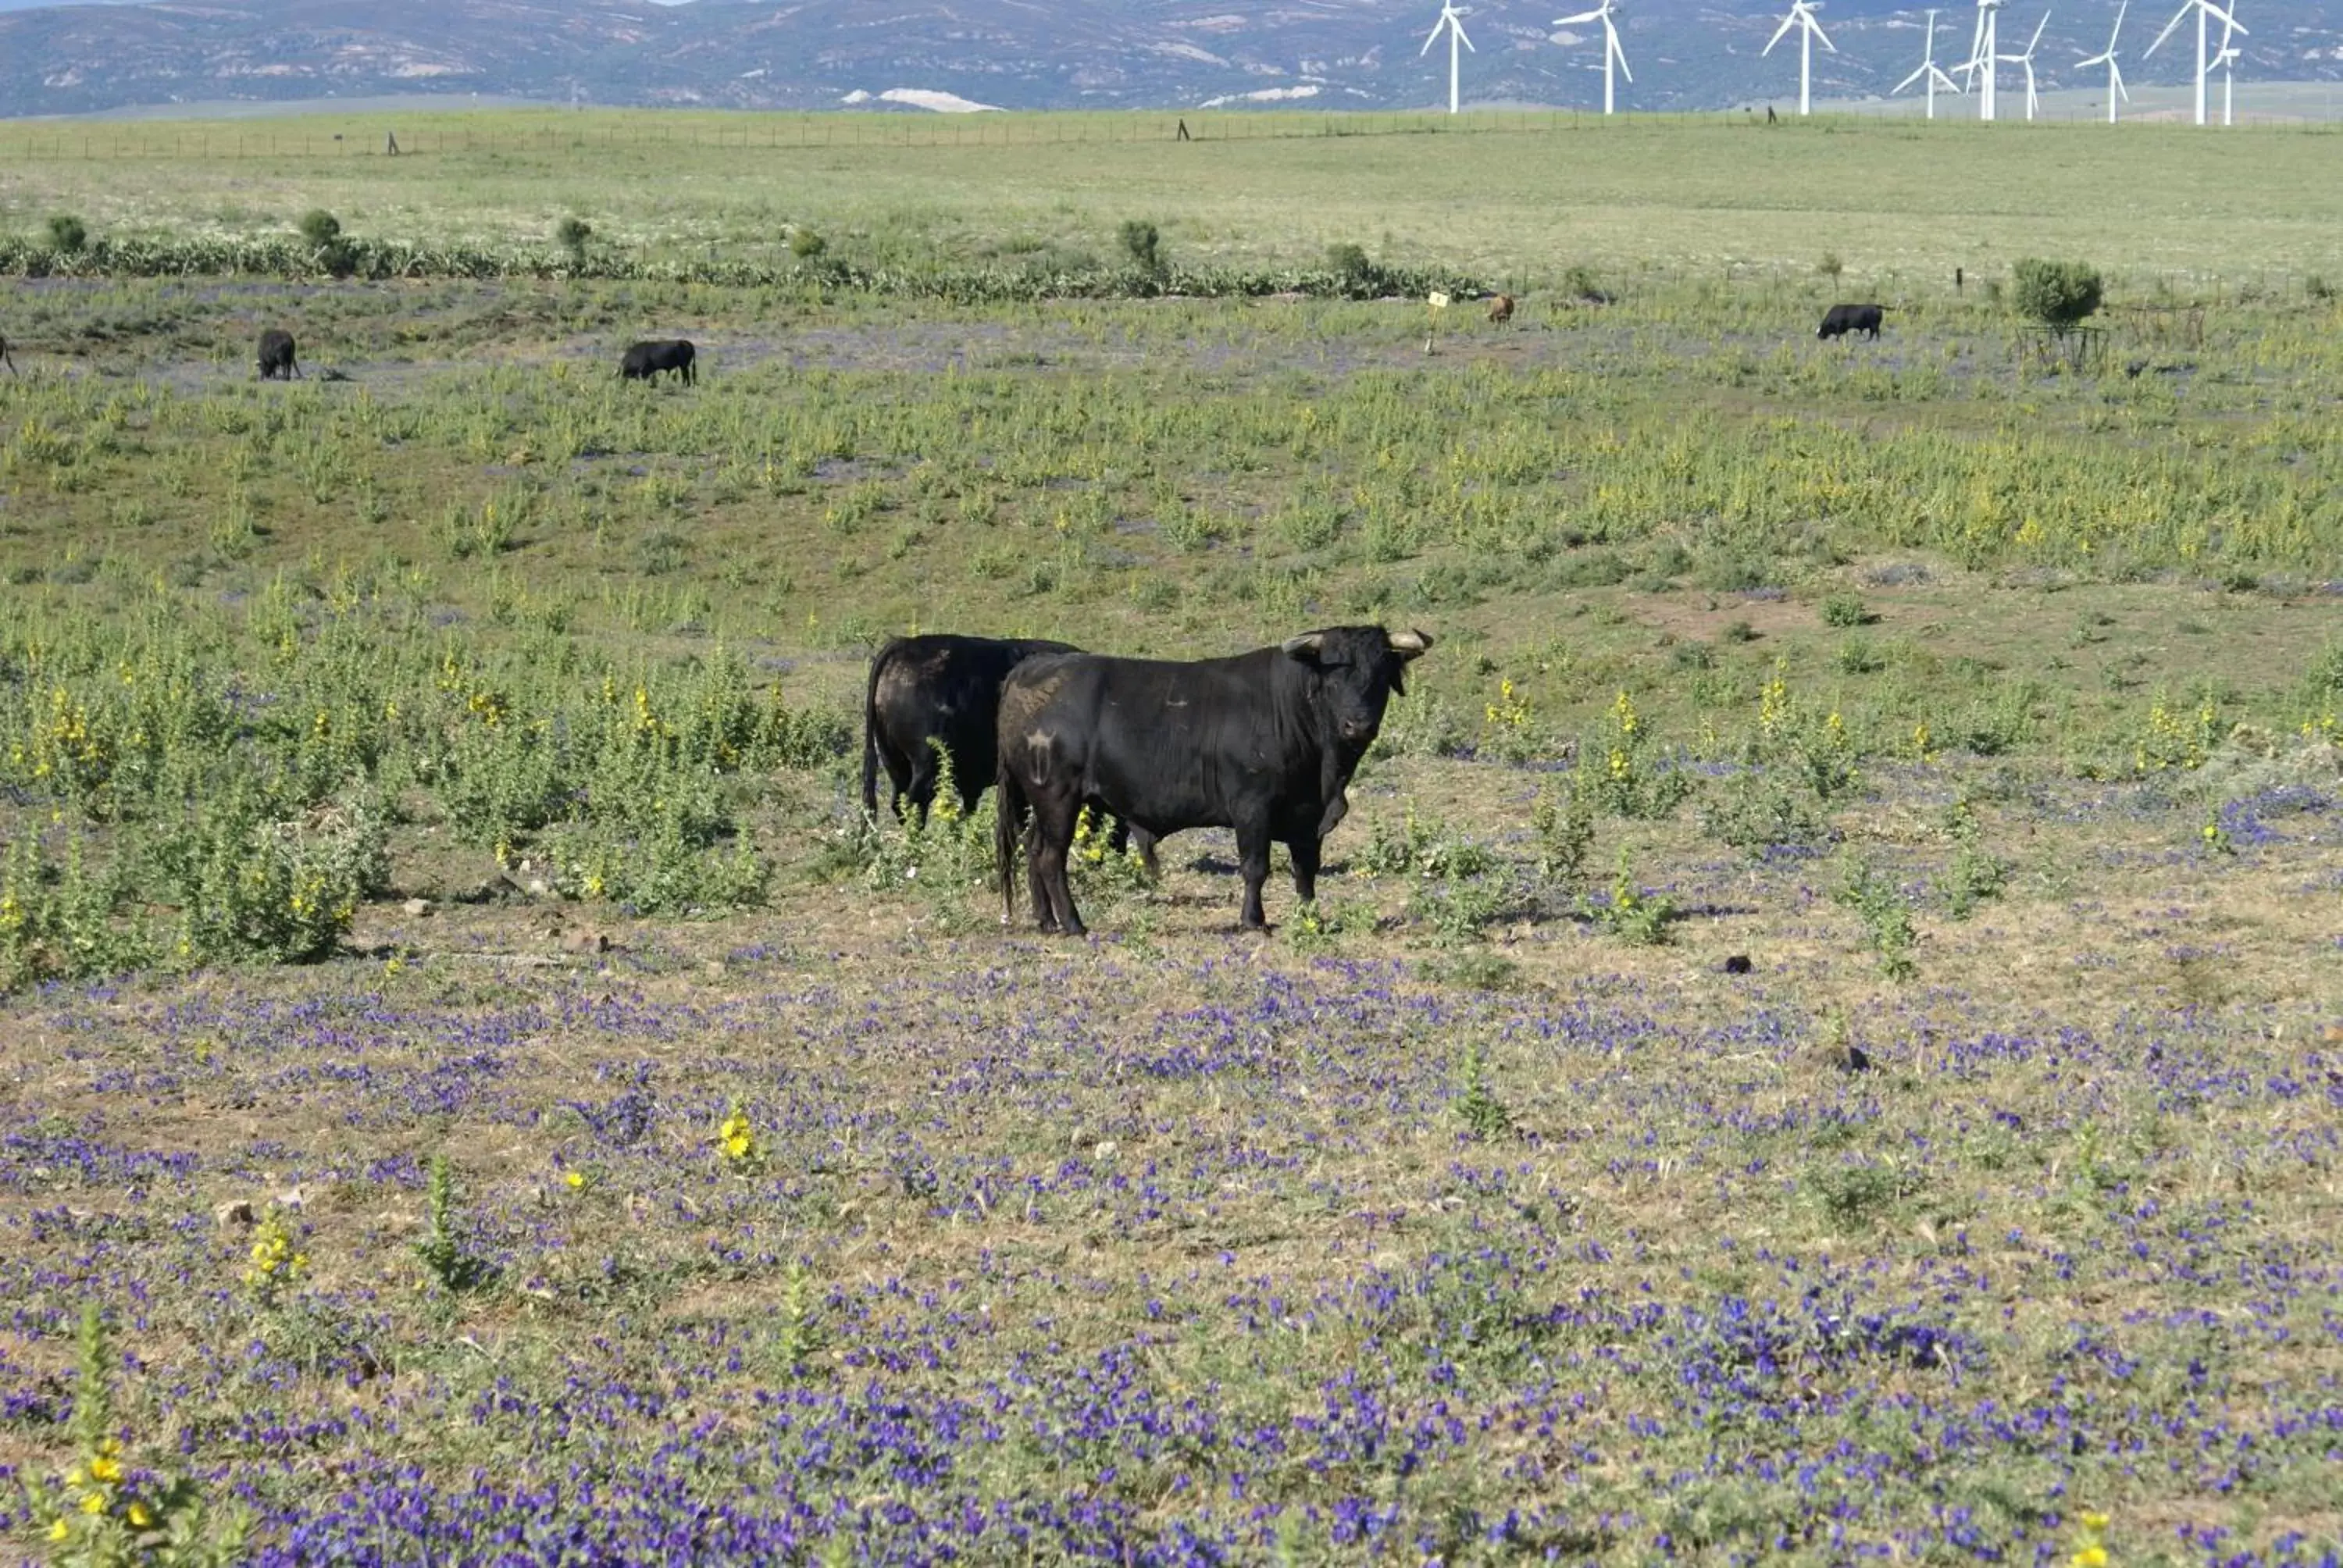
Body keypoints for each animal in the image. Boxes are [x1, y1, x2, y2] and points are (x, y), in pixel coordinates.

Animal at [858, 628, 1157, 862]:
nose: (1115, 852)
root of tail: (904, 645)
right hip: (925, 765)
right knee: (914, 803)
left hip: (895, 763)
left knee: (899, 803)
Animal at [989, 623, 1425, 937]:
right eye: (1334, 677)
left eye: (1380, 676)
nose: (1358, 726)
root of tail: (1033, 669)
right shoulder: (1252, 807)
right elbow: (1256, 867)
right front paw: (1254, 921)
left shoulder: (1307, 814)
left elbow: (1306, 869)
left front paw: (1310, 916)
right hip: (1057, 797)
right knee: (1051, 857)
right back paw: (1074, 924)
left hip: (1042, 803)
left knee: (1033, 849)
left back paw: (1047, 922)